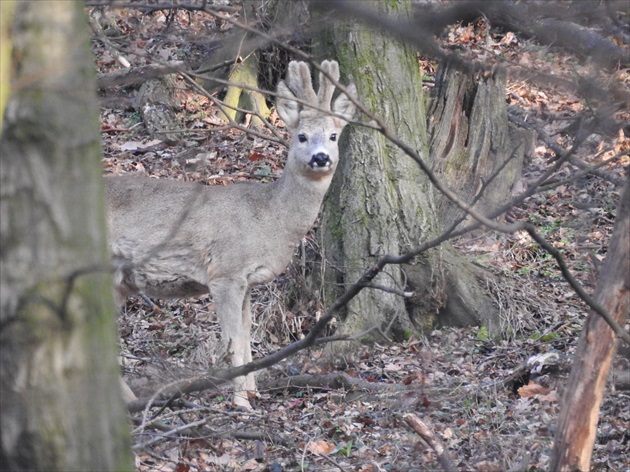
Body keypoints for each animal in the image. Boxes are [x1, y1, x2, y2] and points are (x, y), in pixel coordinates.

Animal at [106, 60, 358, 410]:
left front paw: (253, 392)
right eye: (302, 136)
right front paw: (241, 402)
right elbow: (233, 339)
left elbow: (248, 334)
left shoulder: (247, 281)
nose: (321, 157)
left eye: (334, 135)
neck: (269, 219)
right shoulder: (225, 272)